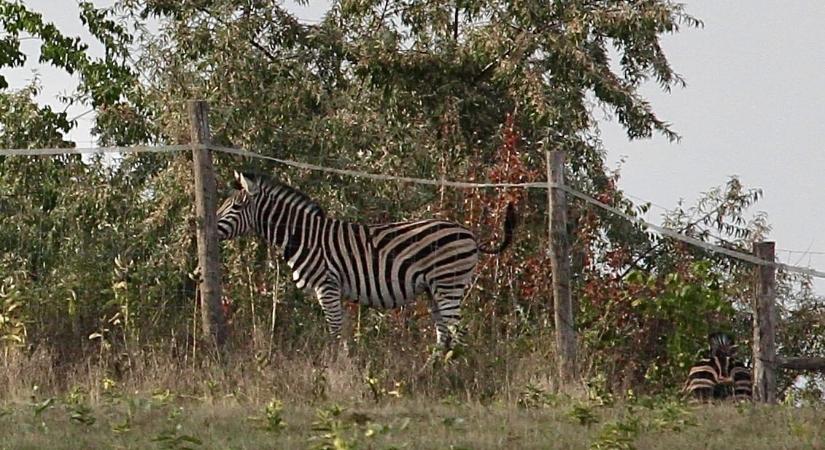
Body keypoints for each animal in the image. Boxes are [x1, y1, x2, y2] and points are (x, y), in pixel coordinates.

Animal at [216, 171, 516, 351]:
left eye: (236, 207)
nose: (207, 226)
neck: (304, 236)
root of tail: (469, 234)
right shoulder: (336, 290)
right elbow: (342, 330)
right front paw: (346, 363)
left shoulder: (327, 285)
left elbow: (334, 330)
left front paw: (333, 368)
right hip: (436, 289)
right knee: (445, 335)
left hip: (449, 283)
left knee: (458, 332)